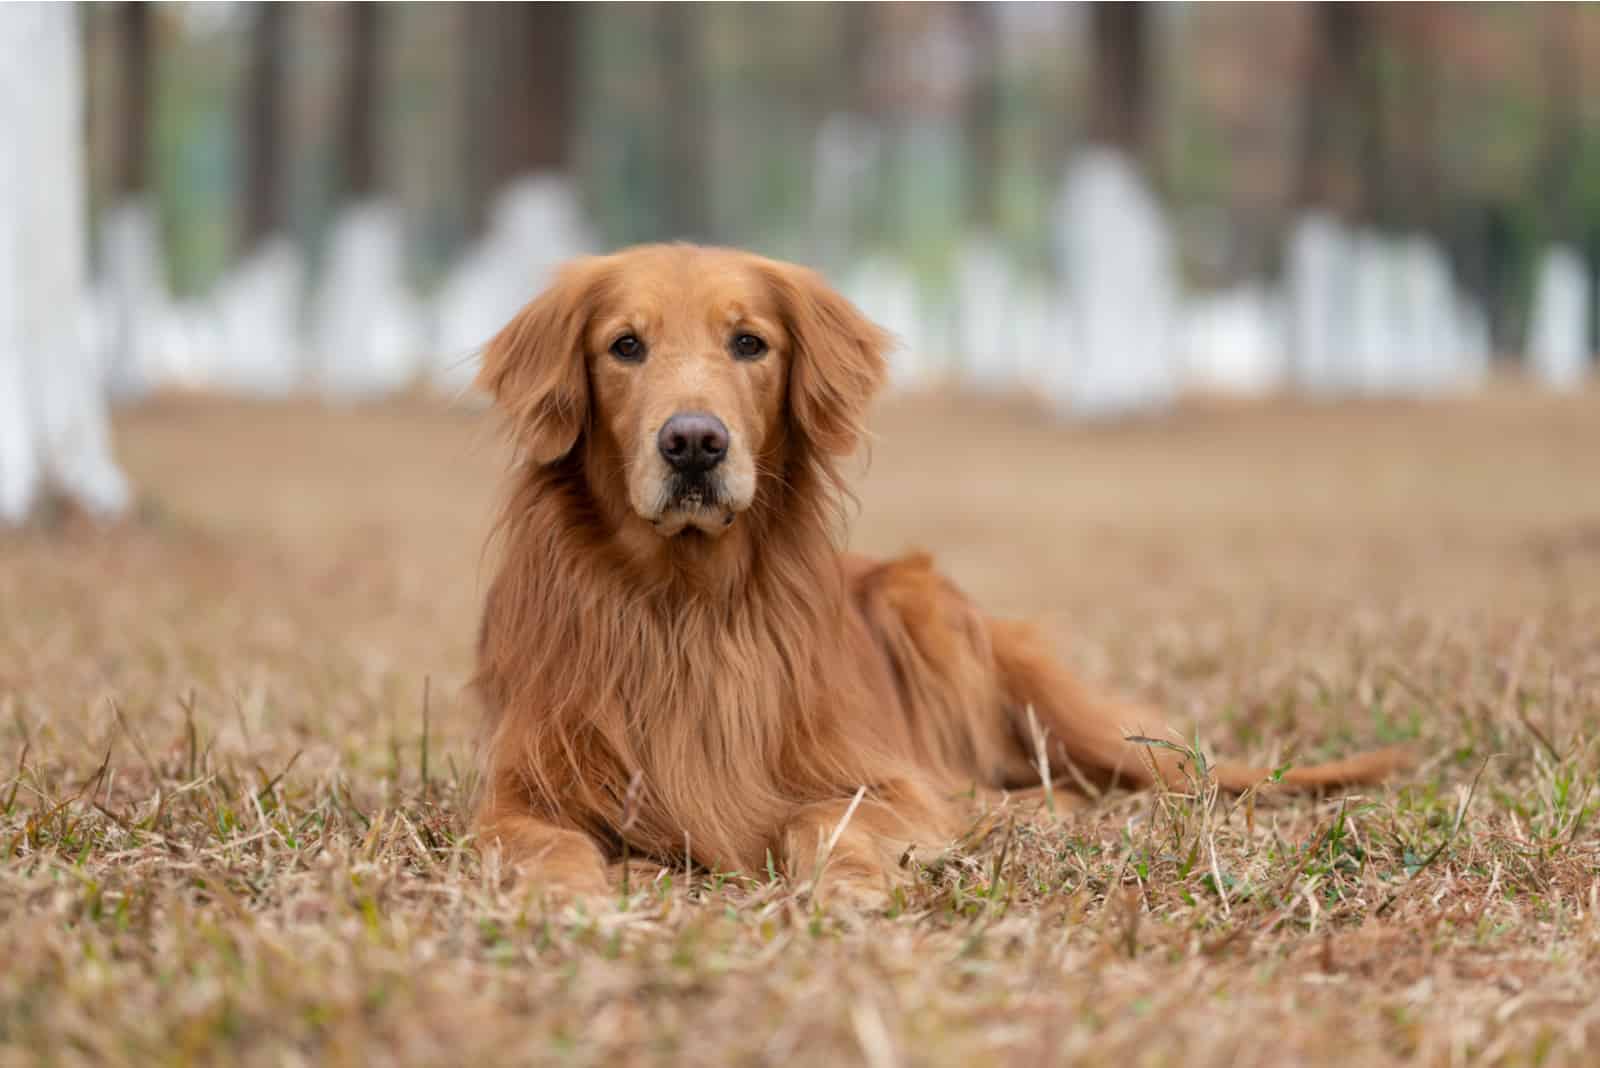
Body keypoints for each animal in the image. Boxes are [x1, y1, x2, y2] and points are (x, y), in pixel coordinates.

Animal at [467, 246, 1408, 895]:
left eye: (749, 343)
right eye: (625, 346)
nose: (695, 442)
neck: (684, 598)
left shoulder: (883, 776)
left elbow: (831, 819)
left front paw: (847, 884)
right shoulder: (518, 790)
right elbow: (543, 841)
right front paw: (569, 896)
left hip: (939, 617)